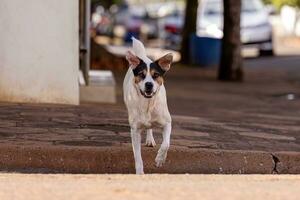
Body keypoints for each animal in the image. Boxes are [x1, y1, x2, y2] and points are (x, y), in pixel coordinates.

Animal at [122, 37, 173, 175]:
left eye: (156, 75)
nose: (149, 84)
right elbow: (137, 155)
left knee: (150, 128)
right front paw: (140, 173)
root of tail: (143, 56)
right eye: (141, 74)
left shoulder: (167, 123)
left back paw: (150, 140)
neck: (147, 104)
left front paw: (160, 159)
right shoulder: (135, 130)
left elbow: (166, 144)